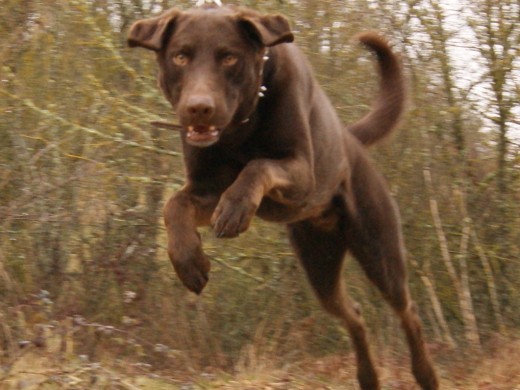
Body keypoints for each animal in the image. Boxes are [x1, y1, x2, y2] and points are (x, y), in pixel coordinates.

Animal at [129, 3, 438, 390]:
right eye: (180, 56)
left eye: (229, 57)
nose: (199, 107)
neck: (241, 126)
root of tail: (350, 139)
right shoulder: (206, 188)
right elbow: (175, 204)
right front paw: (190, 262)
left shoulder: (301, 172)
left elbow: (258, 165)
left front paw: (236, 209)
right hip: (319, 264)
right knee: (353, 313)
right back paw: (367, 377)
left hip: (379, 252)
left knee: (407, 310)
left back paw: (425, 373)